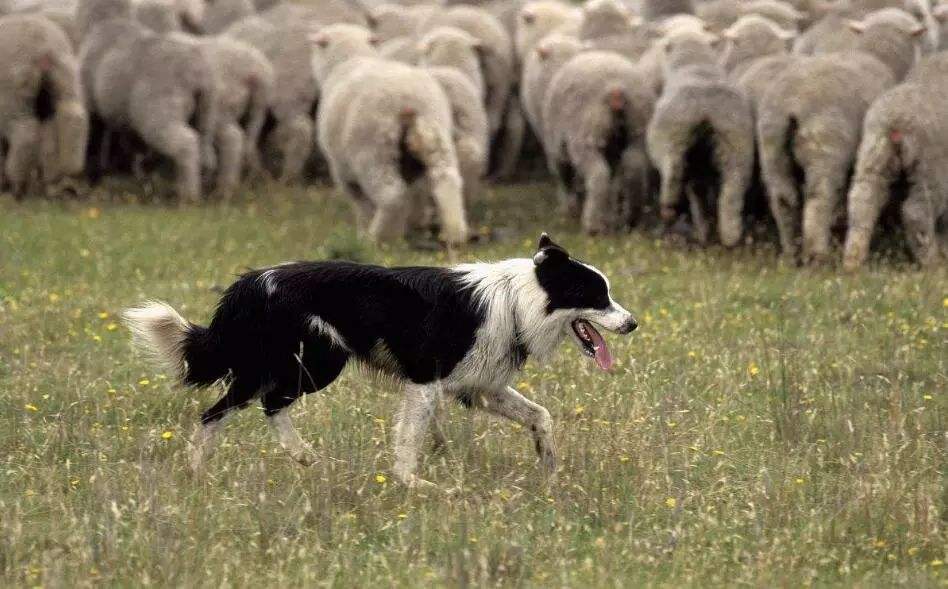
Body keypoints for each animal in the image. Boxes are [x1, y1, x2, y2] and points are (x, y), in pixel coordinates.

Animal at [124, 232, 636, 484]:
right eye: (598, 296)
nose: (632, 323)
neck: (518, 301)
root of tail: (248, 283)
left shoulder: (481, 387)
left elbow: (540, 416)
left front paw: (548, 466)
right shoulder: (424, 384)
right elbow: (408, 444)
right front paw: (415, 486)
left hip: (299, 365)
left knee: (262, 406)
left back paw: (300, 458)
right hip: (312, 362)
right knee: (227, 409)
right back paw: (199, 469)